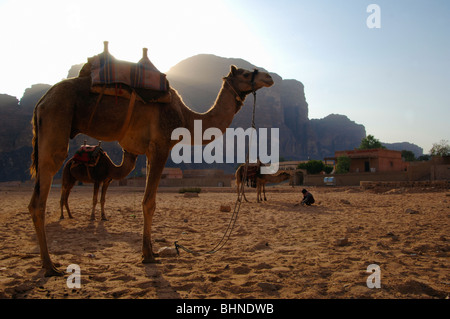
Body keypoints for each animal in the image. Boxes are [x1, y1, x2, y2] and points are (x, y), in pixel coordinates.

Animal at [29, 62, 274, 276]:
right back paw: (50, 266)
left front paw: (150, 251)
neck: (186, 118)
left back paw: (47, 263)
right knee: (41, 196)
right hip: (56, 122)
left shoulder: (145, 151)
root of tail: (42, 101)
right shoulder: (161, 146)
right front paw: (148, 255)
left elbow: (147, 199)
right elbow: (149, 203)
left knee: (35, 199)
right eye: (244, 74)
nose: (268, 77)